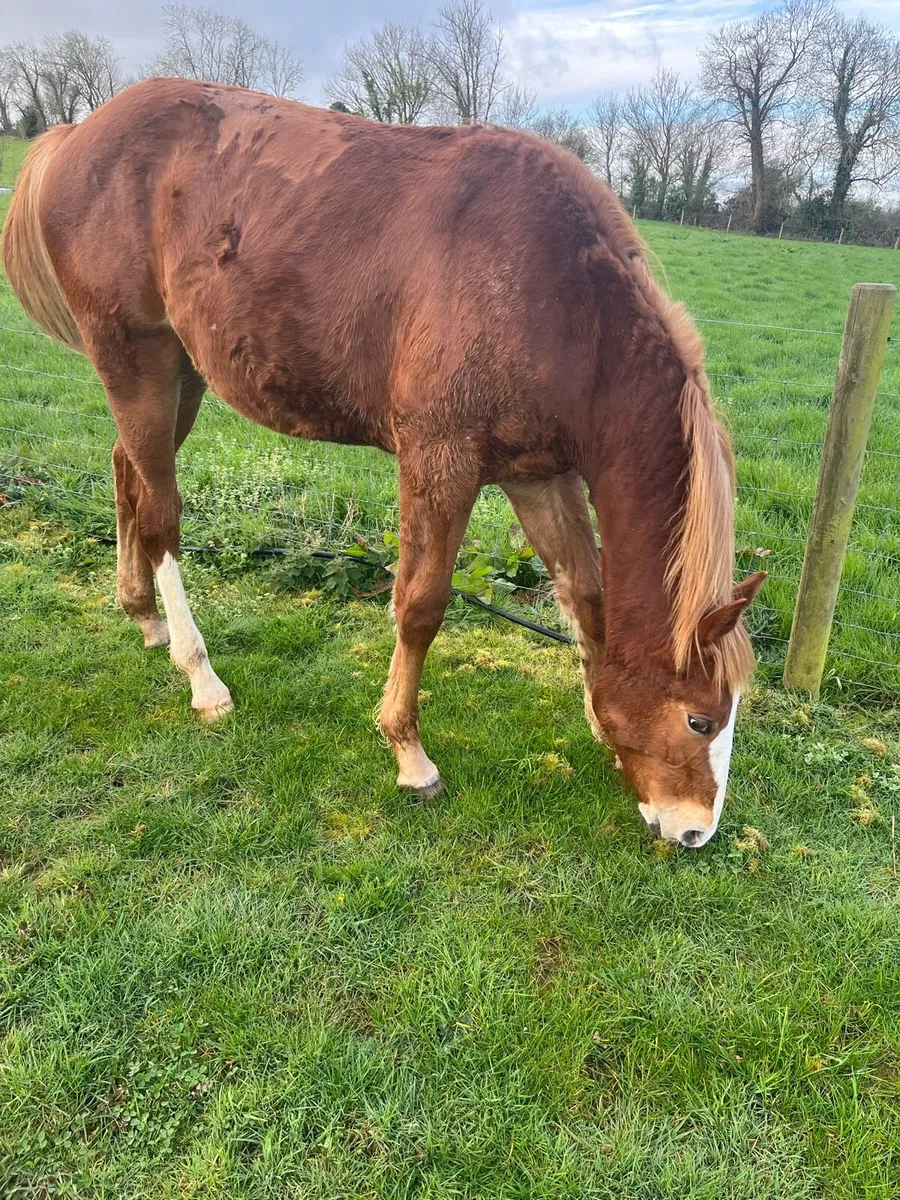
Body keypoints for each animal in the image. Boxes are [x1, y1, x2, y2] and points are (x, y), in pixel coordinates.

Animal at [2, 77, 764, 848]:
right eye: (700, 719)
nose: (694, 832)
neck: (559, 300)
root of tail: (80, 133)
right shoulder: (441, 460)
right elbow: (421, 604)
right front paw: (408, 752)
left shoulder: (538, 474)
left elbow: (585, 596)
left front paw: (597, 722)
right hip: (139, 360)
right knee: (160, 513)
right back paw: (201, 676)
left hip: (180, 374)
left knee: (127, 472)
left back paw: (143, 616)